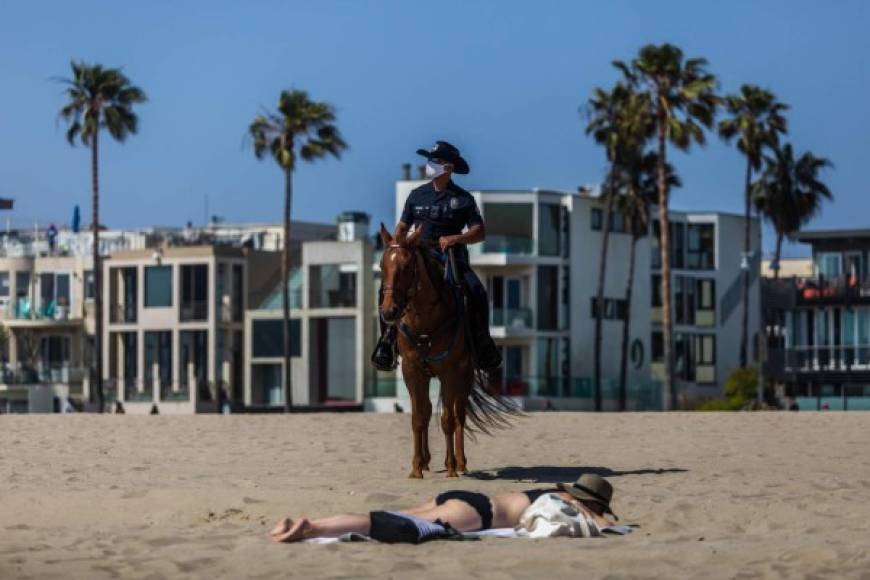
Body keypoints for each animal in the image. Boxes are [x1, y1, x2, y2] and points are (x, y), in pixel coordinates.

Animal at [376, 224, 516, 478]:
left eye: (407, 266)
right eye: (382, 266)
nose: (389, 311)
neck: (425, 321)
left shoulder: (450, 371)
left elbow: (448, 419)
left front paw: (450, 466)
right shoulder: (412, 371)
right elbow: (419, 417)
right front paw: (416, 467)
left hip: (464, 376)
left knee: (459, 414)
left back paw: (460, 462)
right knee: (429, 409)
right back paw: (426, 460)